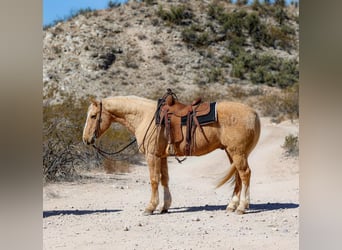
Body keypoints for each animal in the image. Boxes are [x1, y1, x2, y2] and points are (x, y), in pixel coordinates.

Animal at [82, 95, 260, 215]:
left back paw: (242, 207)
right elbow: (164, 179)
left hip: (237, 153)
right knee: (238, 176)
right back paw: (232, 205)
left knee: (245, 174)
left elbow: (154, 180)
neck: (145, 116)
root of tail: (254, 113)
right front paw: (164, 206)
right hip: (232, 153)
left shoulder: (152, 156)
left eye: (93, 116)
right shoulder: (161, 156)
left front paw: (150, 207)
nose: (86, 139)